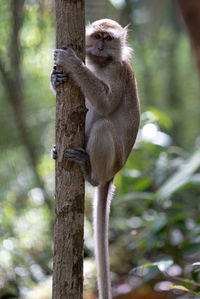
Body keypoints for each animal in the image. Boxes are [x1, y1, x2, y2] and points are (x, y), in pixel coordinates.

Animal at [50, 18, 140, 299]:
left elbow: (106, 103)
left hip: (114, 159)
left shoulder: (119, 72)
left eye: (108, 39)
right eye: (97, 36)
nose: (99, 47)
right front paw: (55, 77)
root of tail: (113, 174)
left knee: (103, 126)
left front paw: (72, 63)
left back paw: (90, 174)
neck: (102, 64)